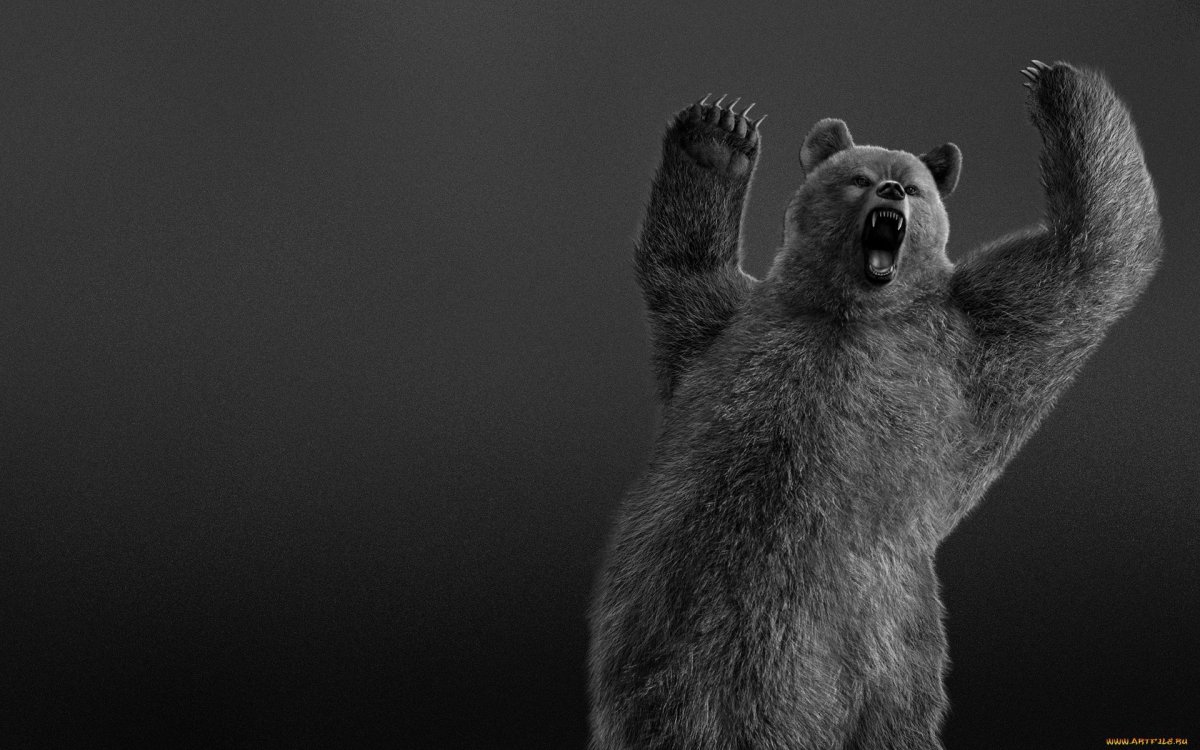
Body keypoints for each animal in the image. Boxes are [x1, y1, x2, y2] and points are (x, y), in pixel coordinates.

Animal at [588, 62, 1162, 750]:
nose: (890, 190)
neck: (850, 309)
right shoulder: (726, 329)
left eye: (914, 187)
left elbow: (1090, 258)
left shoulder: (972, 337)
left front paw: (1056, 86)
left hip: (889, 637)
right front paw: (717, 133)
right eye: (857, 177)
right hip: (660, 630)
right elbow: (680, 272)